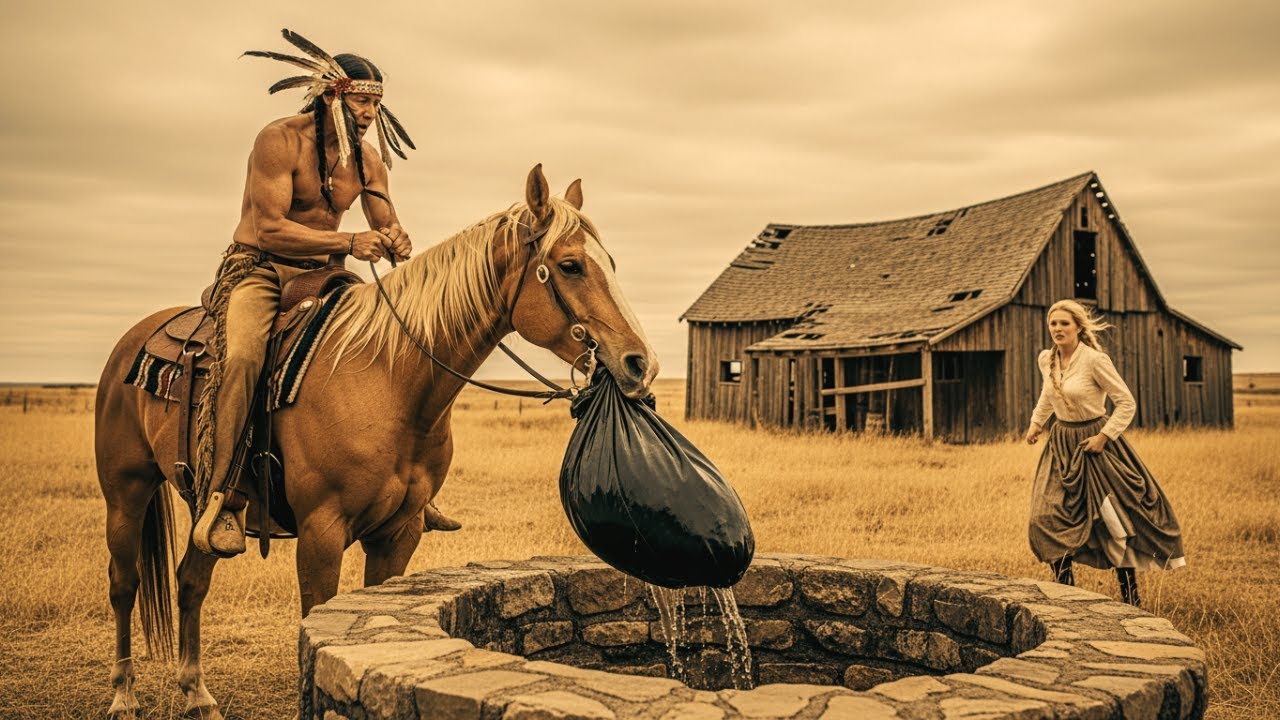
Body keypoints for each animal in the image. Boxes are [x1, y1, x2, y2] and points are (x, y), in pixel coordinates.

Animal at [94, 164, 659, 719]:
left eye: (609, 262)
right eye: (570, 266)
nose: (641, 363)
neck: (388, 377)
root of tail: (134, 340)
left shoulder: (398, 532)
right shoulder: (320, 534)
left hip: (204, 509)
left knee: (192, 581)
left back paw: (197, 694)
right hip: (126, 492)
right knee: (124, 583)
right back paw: (123, 695)